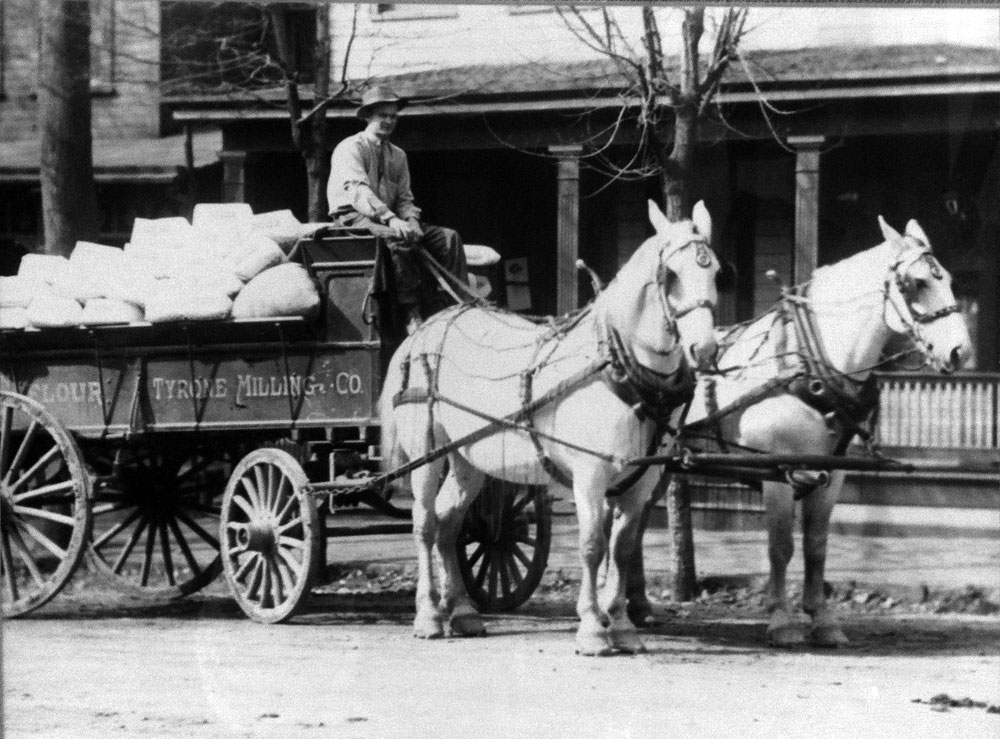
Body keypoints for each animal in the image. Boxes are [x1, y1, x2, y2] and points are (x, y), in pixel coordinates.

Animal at [378, 199, 724, 656]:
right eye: (671, 275)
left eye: (715, 271)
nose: (704, 349)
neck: (617, 365)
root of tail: (422, 330)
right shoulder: (590, 475)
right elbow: (593, 546)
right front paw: (593, 628)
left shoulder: (641, 482)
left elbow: (623, 548)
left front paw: (622, 626)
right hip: (425, 452)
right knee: (425, 523)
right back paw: (429, 614)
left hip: (468, 458)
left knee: (450, 523)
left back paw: (464, 612)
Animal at [628, 215, 972, 648]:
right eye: (916, 283)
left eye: (950, 280)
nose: (961, 351)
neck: (811, 367)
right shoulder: (779, 471)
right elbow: (780, 546)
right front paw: (781, 619)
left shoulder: (831, 474)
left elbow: (816, 547)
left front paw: (823, 619)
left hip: (659, 465)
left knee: (634, 521)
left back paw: (639, 607)